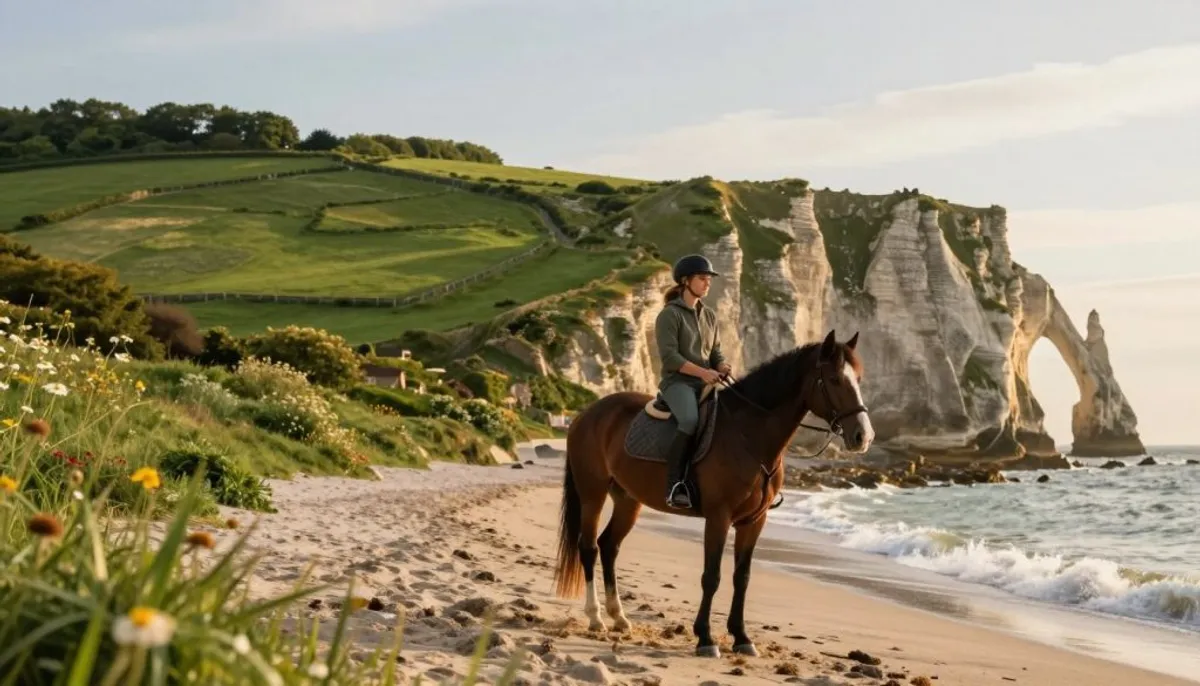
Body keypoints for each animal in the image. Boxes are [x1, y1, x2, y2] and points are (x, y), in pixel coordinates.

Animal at [551, 330, 874, 658]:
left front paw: (741, 637)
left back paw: (619, 617)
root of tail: (587, 414)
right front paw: (705, 638)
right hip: (592, 493)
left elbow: (741, 578)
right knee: (589, 547)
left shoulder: (753, 521)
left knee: (609, 546)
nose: (864, 436)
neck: (749, 434)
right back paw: (596, 618)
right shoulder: (718, 517)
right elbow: (712, 576)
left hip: (629, 500)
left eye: (859, 378)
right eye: (834, 379)